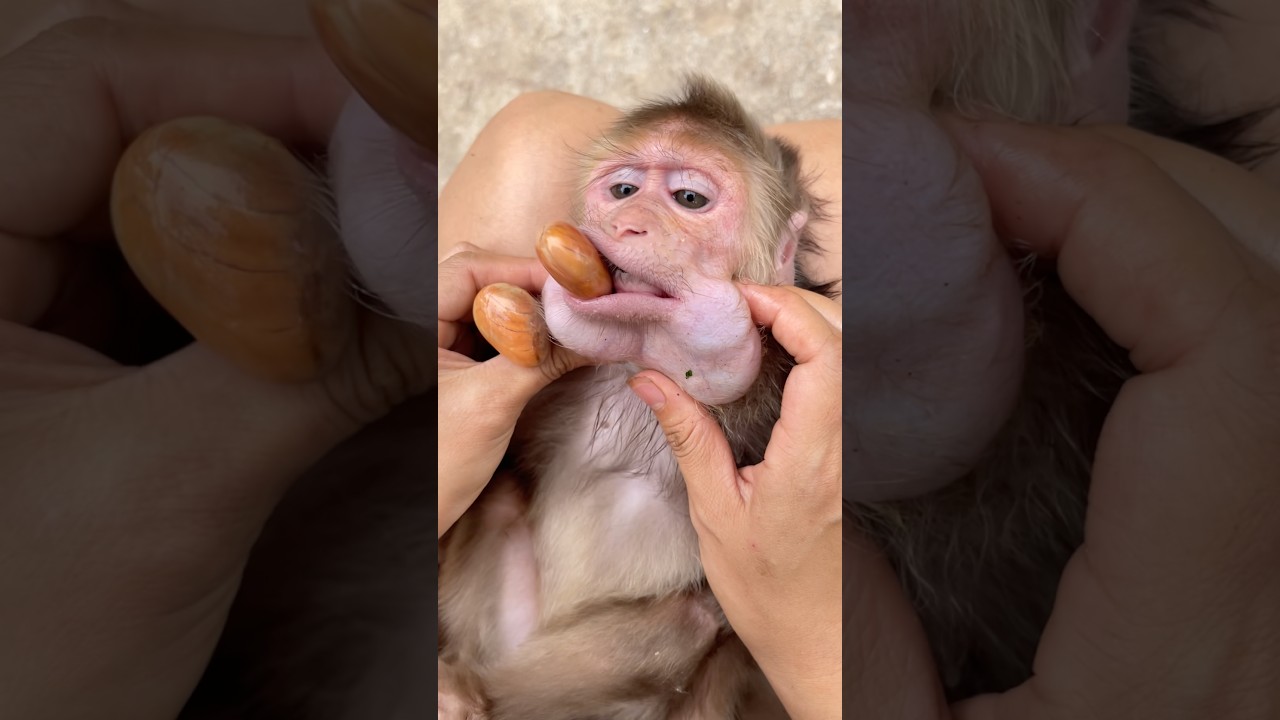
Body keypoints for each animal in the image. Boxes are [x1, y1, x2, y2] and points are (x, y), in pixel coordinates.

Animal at [437, 75, 840, 720]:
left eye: (689, 199)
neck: (631, 372)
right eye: (623, 190)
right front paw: (512, 318)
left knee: (696, 619)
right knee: (497, 498)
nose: (626, 223)